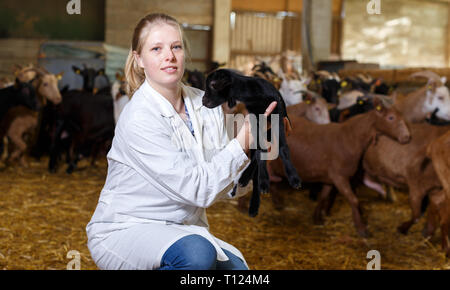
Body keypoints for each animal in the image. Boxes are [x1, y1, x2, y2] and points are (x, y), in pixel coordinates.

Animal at [268, 98, 410, 237]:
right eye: (391, 117)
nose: (407, 137)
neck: (350, 138)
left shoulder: (329, 178)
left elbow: (323, 197)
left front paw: (317, 218)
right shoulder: (339, 177)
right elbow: (354, 200)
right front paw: (361, 229)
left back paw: (277, 202)